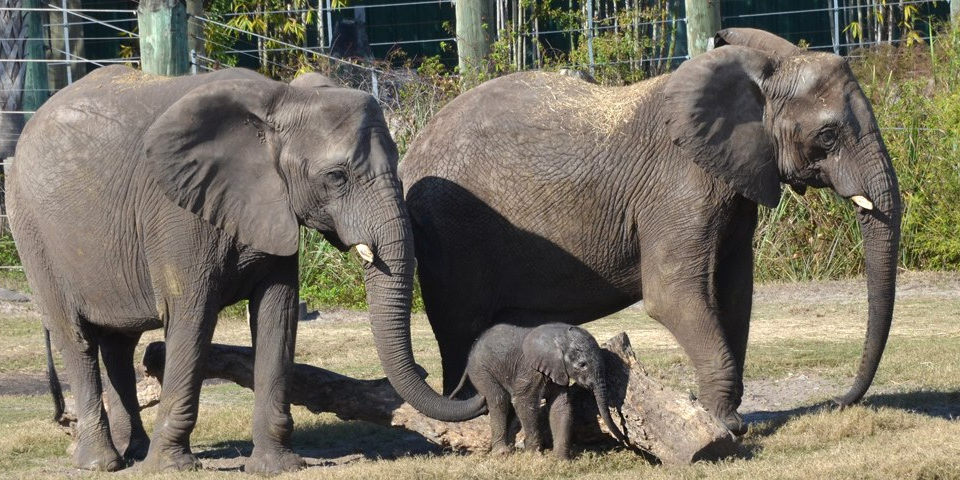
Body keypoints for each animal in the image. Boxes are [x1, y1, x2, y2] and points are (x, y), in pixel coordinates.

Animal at [6, 65, 484, 474]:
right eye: (336, 177)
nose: (467, 384)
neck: (282, 100)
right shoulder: (175, 212)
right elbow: (192, 318)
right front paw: (173, 467)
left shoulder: (274, 207)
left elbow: (279, 315)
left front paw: (278, 466)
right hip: (31, 231)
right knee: (77, 338)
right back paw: (102, 463)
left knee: (119, 345)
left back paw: (134, 452)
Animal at [398, 29, 900, 436]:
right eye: (828, 136)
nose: (839, 402)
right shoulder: (679, 185)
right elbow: (673, 295)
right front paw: (724, 426)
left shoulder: (733, 184)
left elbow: (734, 293)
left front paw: (726, 418)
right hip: (451, 229)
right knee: (460, 326)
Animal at [452, 322, 628, 458]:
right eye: (582, 365)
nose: (624, 439)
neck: (558, 338)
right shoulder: (529, 370)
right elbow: (524, 403)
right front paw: (535, 455)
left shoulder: (558, 370)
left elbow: (560, 406)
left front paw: (562, 460)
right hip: (481, 370)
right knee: (499, 400)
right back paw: (502, 453)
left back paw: (511, 448)